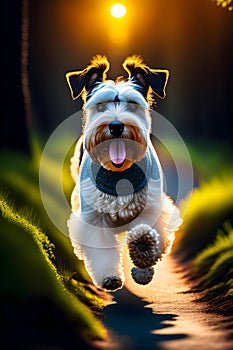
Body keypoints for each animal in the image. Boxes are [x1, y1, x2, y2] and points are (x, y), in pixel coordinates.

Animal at [65, 54, 182, 292]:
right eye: (100, 105)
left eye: (132, 104)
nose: (116, 126)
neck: (119, 171)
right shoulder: (94, 219)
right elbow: (101, 251)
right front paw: (110, 277)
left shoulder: (153, 207)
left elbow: (149, 233)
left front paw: (143, 255)